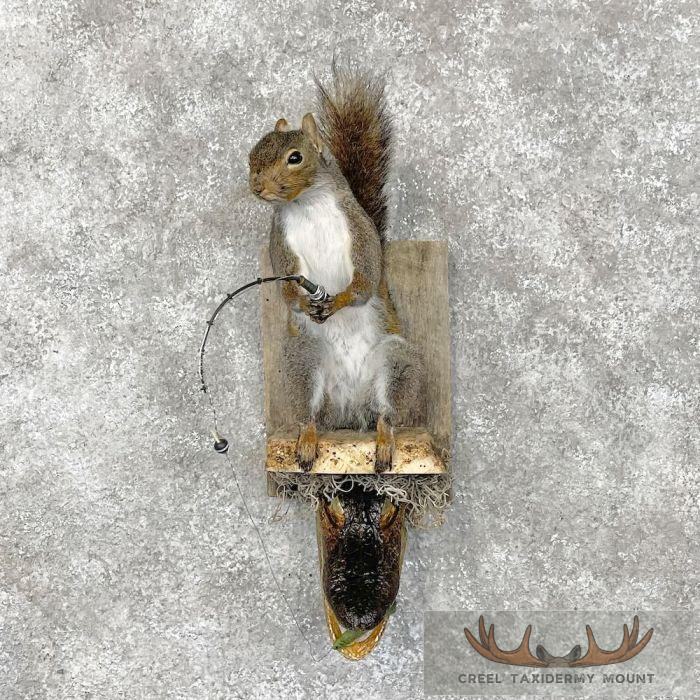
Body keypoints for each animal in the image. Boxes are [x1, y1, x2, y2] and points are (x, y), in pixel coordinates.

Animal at [248, 68, 424, 473]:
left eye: (295, 157)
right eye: (252, 155)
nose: (256, 186)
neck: (308, 204)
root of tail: (350, 406)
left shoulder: (360, 231)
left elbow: (365, 280)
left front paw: (339, 300)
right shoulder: (279, 244)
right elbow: (286, 290)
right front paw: (302, 302)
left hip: (397, 363)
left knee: (386, 415)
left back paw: (384, 440)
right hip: (303, 361)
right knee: (309, 415)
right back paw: (308, 440)